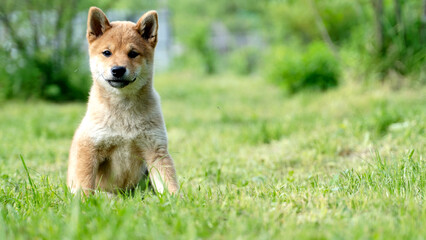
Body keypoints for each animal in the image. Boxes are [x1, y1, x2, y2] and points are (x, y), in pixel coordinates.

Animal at [66, 7, 178, 195]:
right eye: (107, 53)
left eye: (133, 54)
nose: (118, 70)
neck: (123, 111)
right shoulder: (88, 145)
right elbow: (85, 183)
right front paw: (84, 201)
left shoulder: (156, 150)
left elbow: (169, 182)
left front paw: (179, 199)